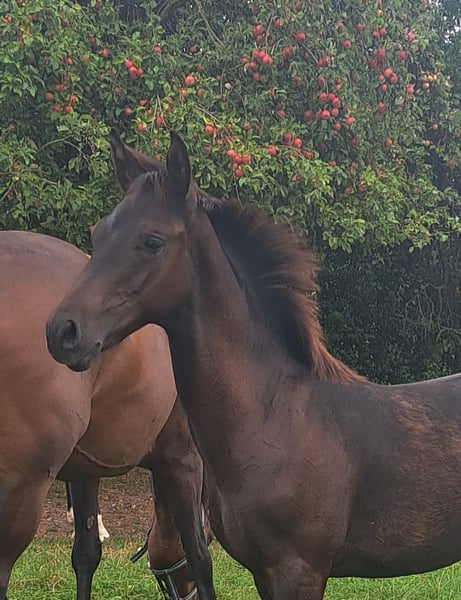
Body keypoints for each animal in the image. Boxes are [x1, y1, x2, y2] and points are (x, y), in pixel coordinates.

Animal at [46, 130, 461, 600]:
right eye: (99, 233)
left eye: (152, 241)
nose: (63, 332)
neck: (275, 416)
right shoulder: (265, 573)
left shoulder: (299, 571)